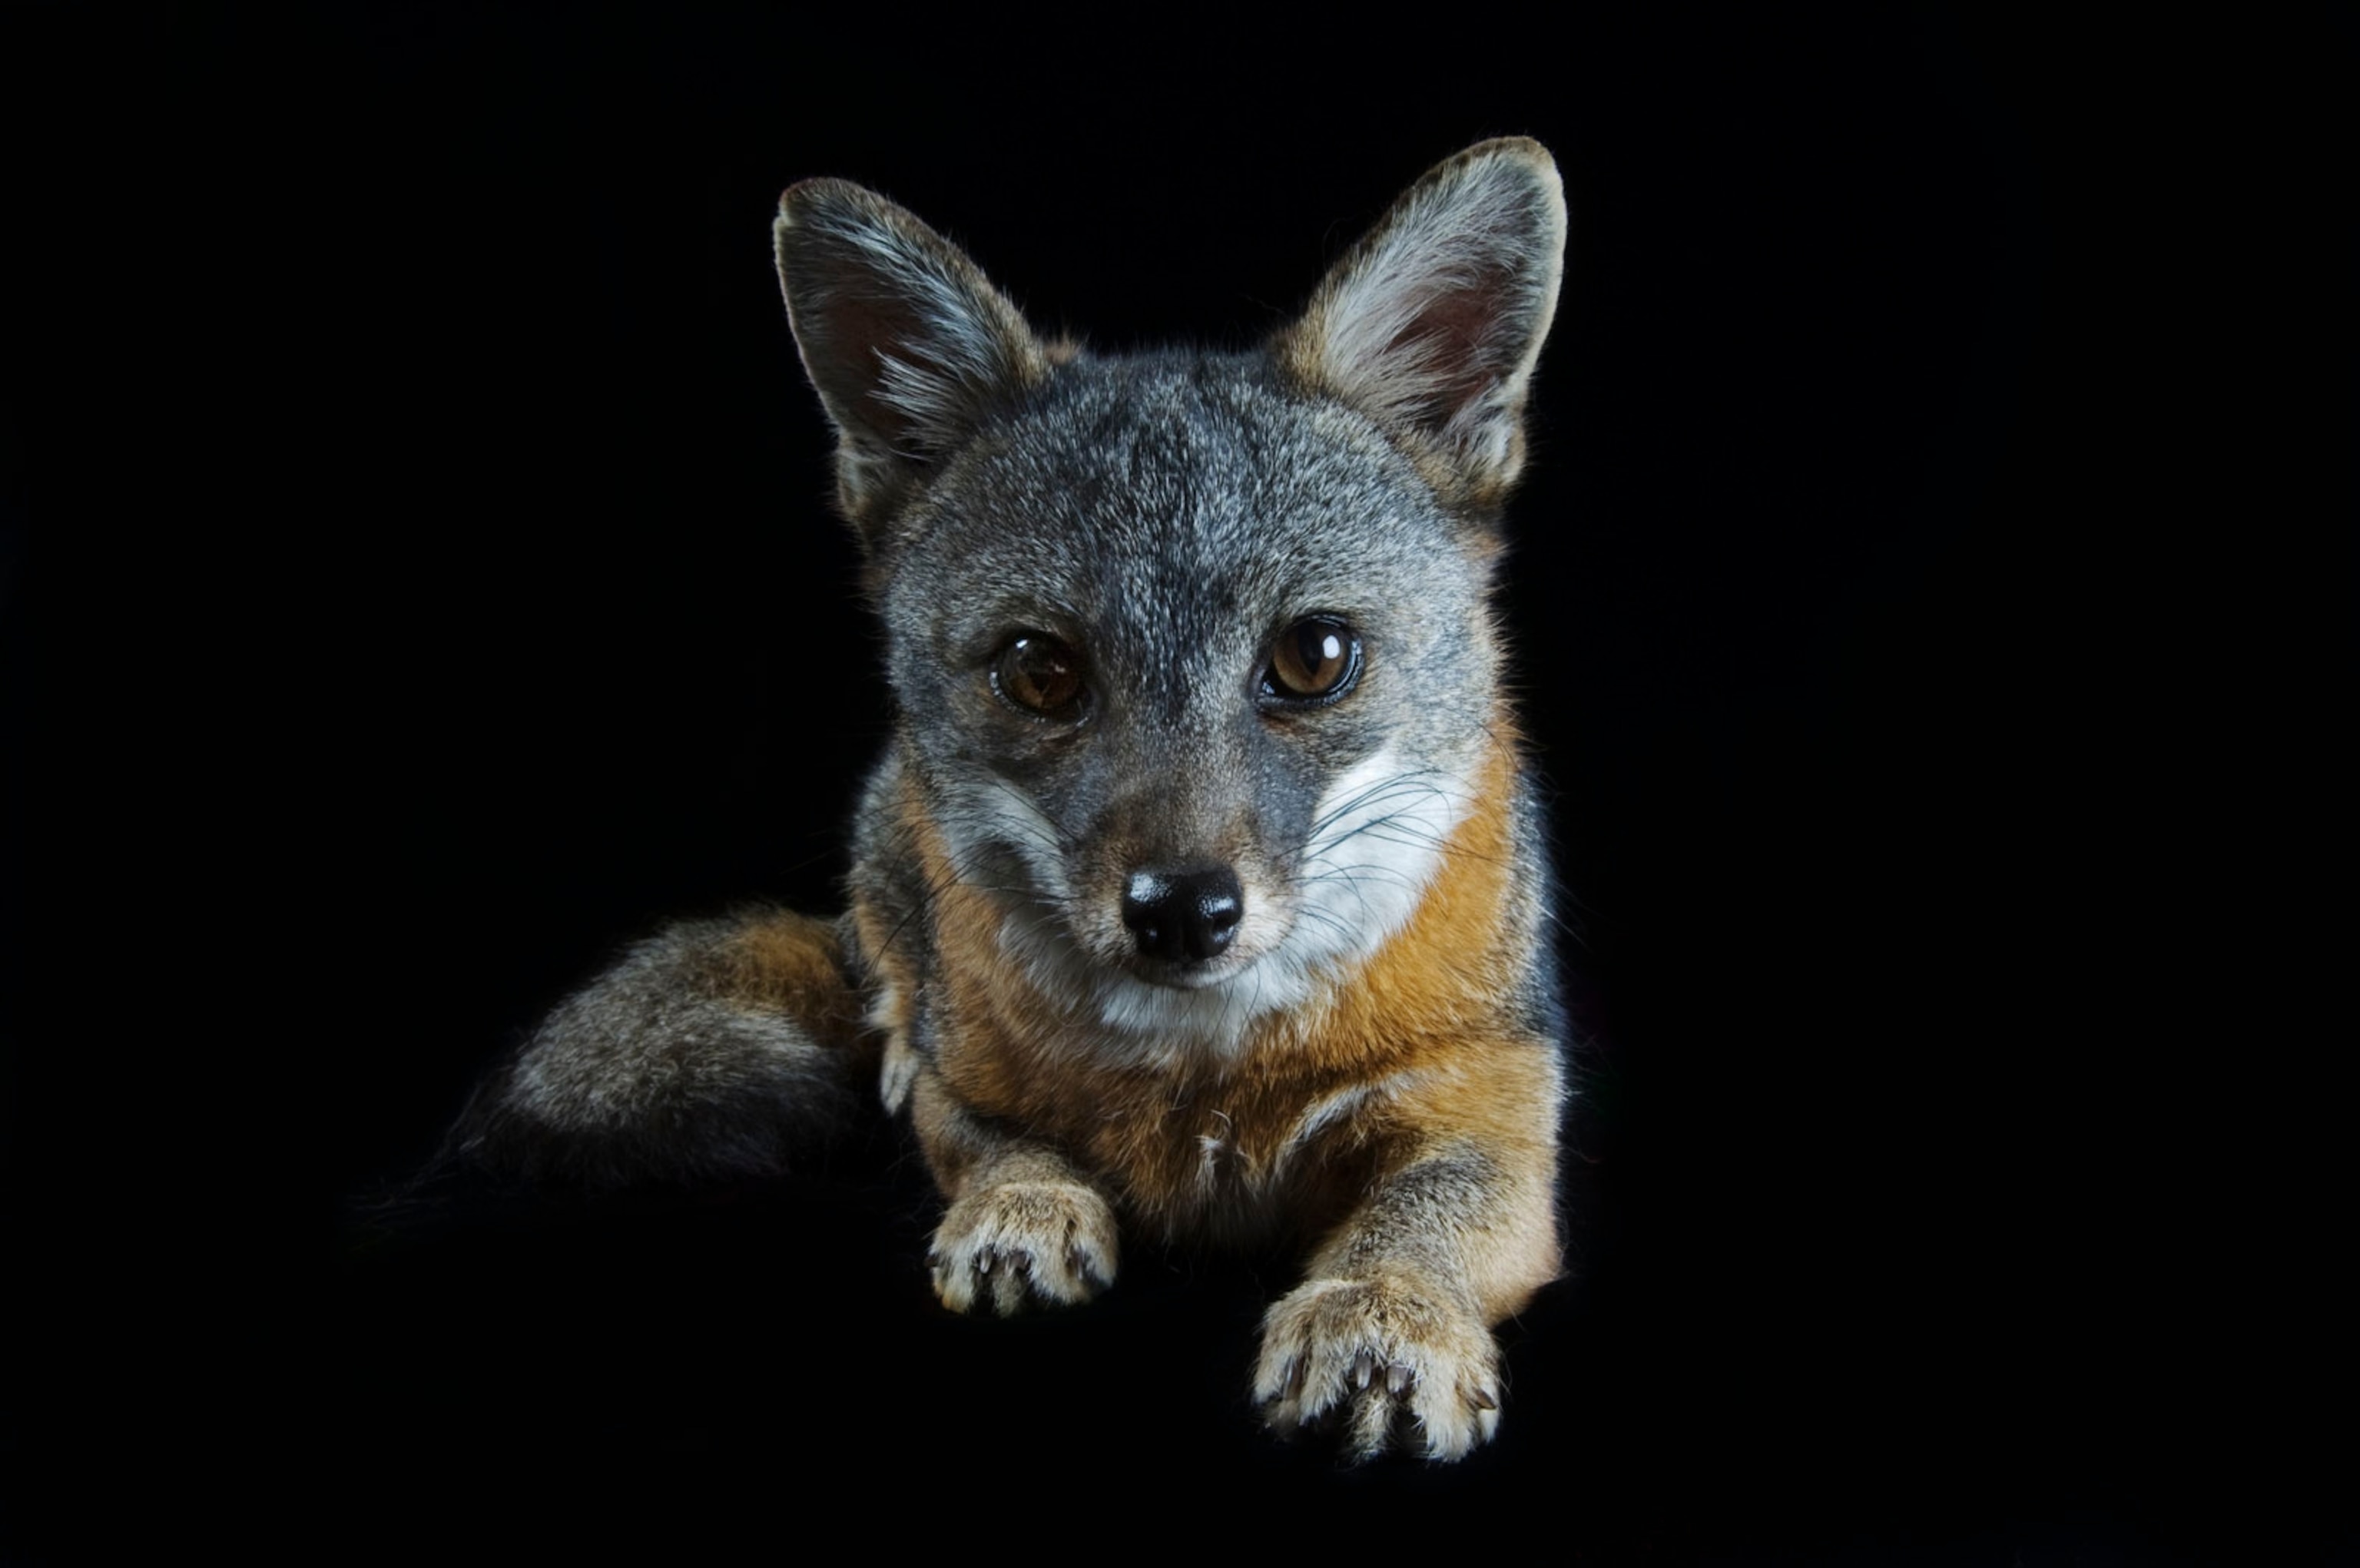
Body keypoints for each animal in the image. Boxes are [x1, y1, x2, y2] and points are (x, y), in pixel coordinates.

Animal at [443, 137, 1572, 1462]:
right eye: (1041, 671)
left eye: (1313, 658)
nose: (1181, 912)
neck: (1207, 1084)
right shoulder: (966, 1084)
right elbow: (982, 1136)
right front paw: (1022, 1202)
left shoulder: (1492, 1100)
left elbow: (1425, 1214)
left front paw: (1386, 1314)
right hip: (884, 821)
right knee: (880, 949)